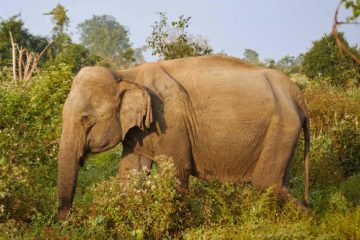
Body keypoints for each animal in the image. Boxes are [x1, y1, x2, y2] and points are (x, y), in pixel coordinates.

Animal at [57, 55, 310, 220]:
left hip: (281, 127)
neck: (126, 73)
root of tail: (297, 94)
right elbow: (131, 176)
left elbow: (177, 172)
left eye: (86, 119)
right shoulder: (140, 131)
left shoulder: (171, 121)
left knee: (267, 185)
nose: (68, 220)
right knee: (275, 185)